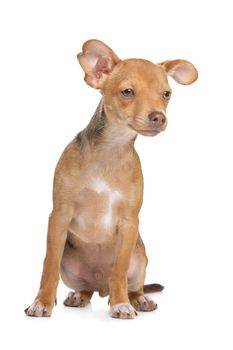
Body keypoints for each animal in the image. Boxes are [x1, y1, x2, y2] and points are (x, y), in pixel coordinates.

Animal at [24, 39, 198, 318]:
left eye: (167, 94)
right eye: (127, 92)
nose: (159, 117)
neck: (110, 150)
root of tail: (100, 286)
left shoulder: (129, 223)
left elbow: (119, 269)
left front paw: (121, 303)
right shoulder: (59, 216)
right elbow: (48, 267)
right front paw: (42, 302)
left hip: (140, 258)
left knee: (132, 284)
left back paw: (138, 300)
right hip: (69, 262)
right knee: (86, 288)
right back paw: (79, 296)